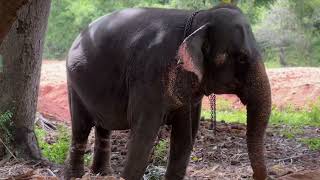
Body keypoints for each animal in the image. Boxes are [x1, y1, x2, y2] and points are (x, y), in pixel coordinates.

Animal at [66, 3, 272, 180]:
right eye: (242, 58)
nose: (254, 176)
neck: (199, 19)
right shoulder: (149, 74)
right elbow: (144, 133)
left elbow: (186, 135)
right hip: (73, 84)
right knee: (80, 128)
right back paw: (76, 175)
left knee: (103, 126)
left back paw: (101, 173)